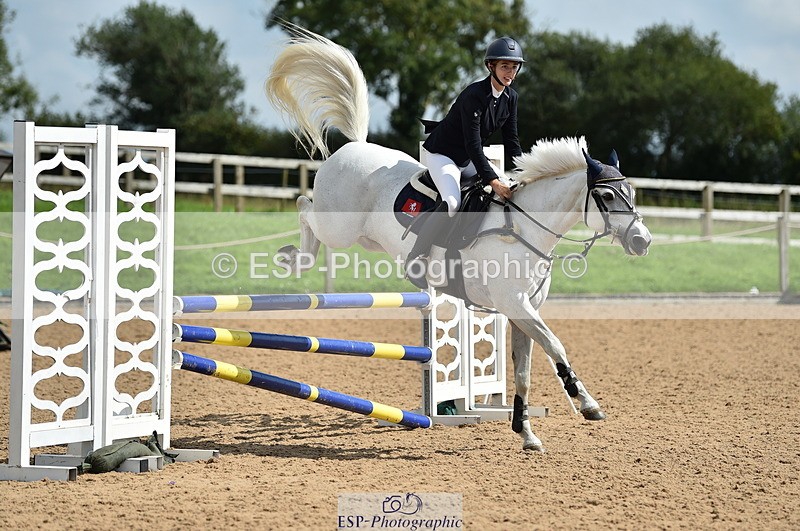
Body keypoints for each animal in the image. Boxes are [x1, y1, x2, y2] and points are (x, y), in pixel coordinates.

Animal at [265, 26, 652, 451]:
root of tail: (355, 145)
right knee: (305, 208)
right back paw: (292, 257)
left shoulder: (522, 311)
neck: (523, 229)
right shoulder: (515, 304)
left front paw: (526, 433)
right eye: (607, 197)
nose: (642, 241)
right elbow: (557, 347)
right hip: (338, 226)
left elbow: (524, 371)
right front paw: (586, 403)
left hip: (367, 238)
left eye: (631, 193)